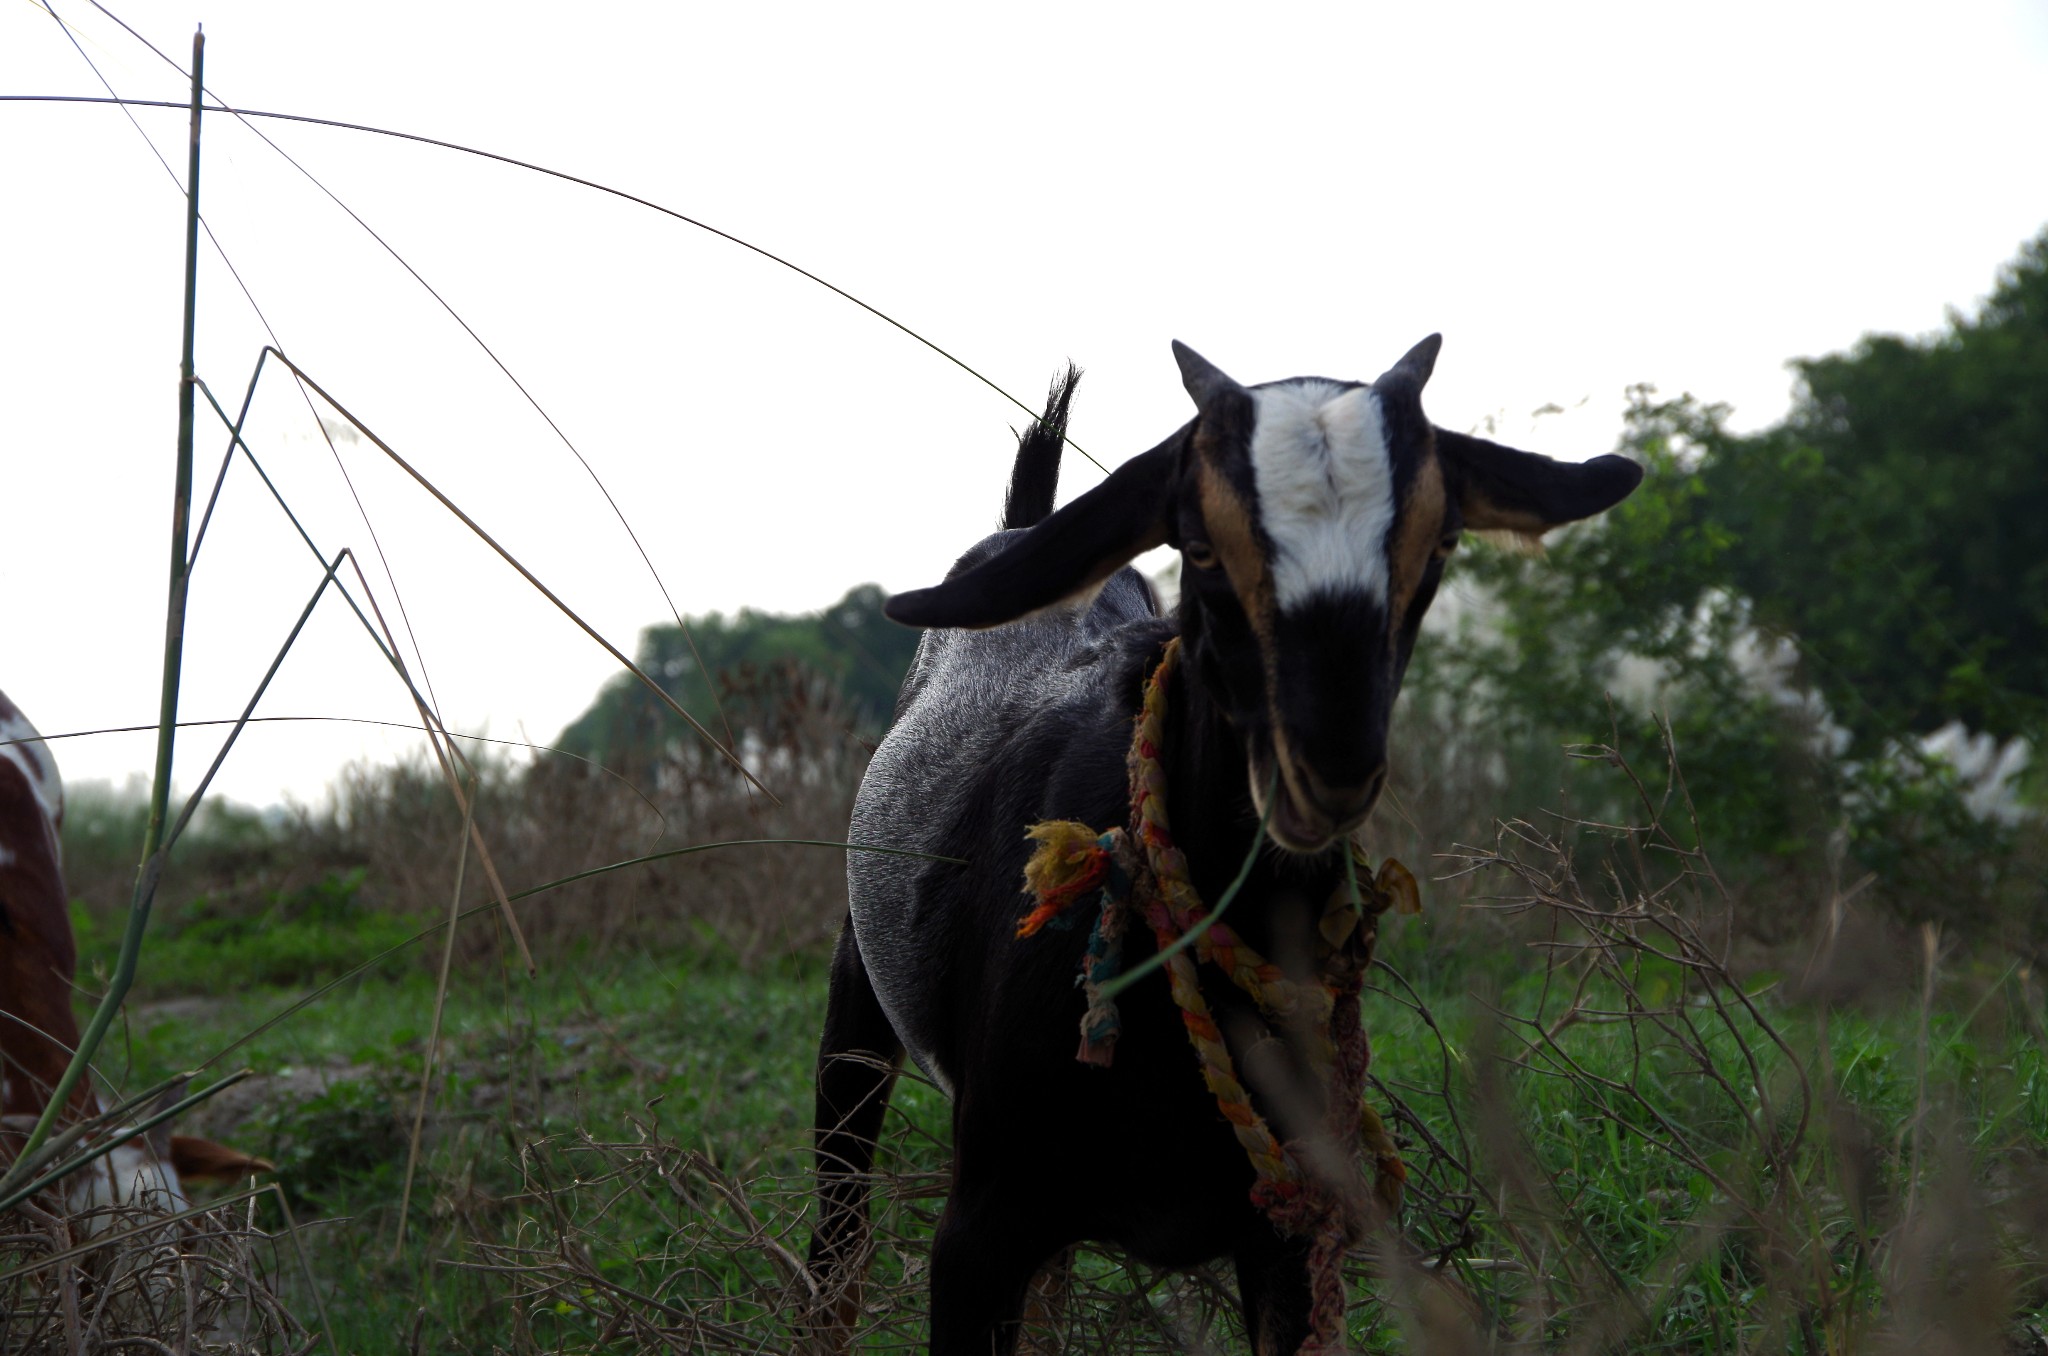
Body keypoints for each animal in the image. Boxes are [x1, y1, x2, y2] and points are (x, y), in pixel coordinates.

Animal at [806, 333, 1638, 1351]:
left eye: (1436, 541)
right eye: (1199, 545)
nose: (1325, 766)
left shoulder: (1290, 1232)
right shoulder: (979, 1235)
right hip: (856, 1008)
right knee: (836, 1244)